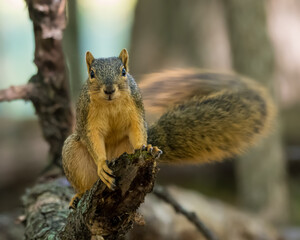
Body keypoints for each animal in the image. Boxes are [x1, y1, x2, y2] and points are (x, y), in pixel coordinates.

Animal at [62, 48, 276, 208]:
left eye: (123, 71)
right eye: (91, 74)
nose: (108, 90)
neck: (110, 104)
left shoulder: (135, 109)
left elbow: (137, 130)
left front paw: (145, 146)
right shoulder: (87, 117)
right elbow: (92, 138)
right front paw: (102, 165)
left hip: (125, 149)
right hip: (73, 154)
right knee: (84, 184)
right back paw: (79, 195)